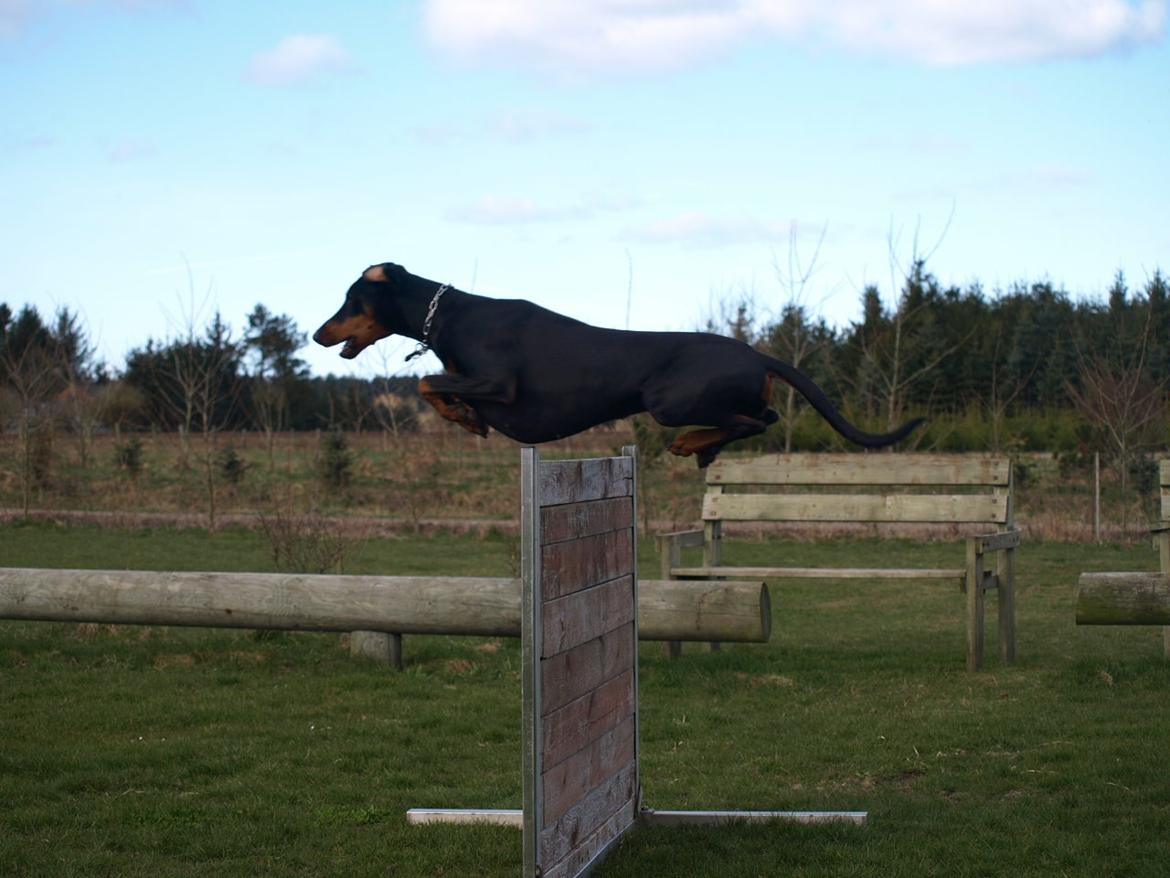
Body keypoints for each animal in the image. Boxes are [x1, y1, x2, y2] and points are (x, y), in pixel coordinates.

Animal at [313, 263, 921, 463]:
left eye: (348, 299)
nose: (317, 334)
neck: (452, 317)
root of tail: (756, 351)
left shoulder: (500, 383)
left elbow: (426, 380)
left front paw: (464, 415)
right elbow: (435, 383)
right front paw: (464, 415)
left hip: (668, 401)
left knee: (757, 420)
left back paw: (692, 444)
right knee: (757, 418)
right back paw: (705, 449)